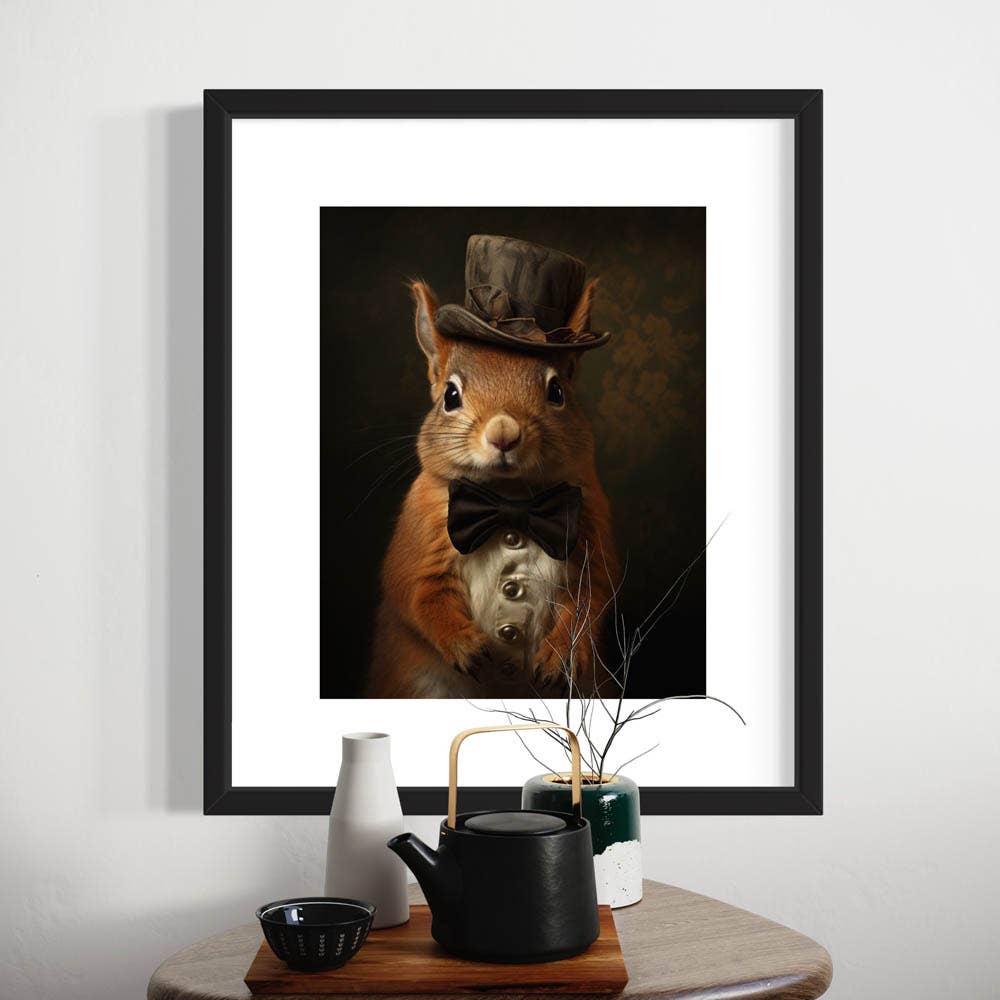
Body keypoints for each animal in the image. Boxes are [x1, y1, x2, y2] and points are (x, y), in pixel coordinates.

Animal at [366, 280, 619, 698]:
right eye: (450, 396)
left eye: (557, 392)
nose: (504, 433)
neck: (509, 500)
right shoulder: (420, 539)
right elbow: (417, 593)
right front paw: (463, 642)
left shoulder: (590, 538)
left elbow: (591, 600)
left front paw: (560, 656)